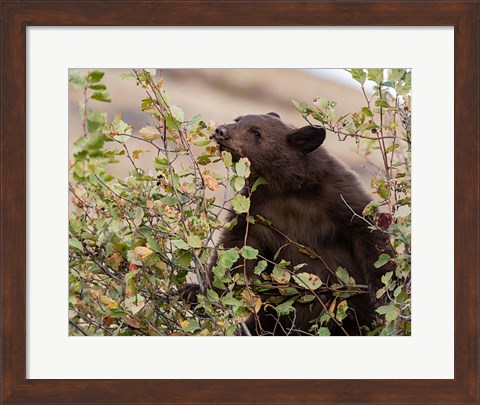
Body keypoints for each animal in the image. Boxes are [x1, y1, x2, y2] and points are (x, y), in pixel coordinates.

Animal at [182, 113, 392, 334]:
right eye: (238, 119)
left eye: (256, 132)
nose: (221, 131)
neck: (285, 187)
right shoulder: (255, 209)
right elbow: (236, 249)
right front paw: (196, 292)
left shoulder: (337, 194)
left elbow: (366, 228)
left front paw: (384, 288)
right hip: (271, 318)